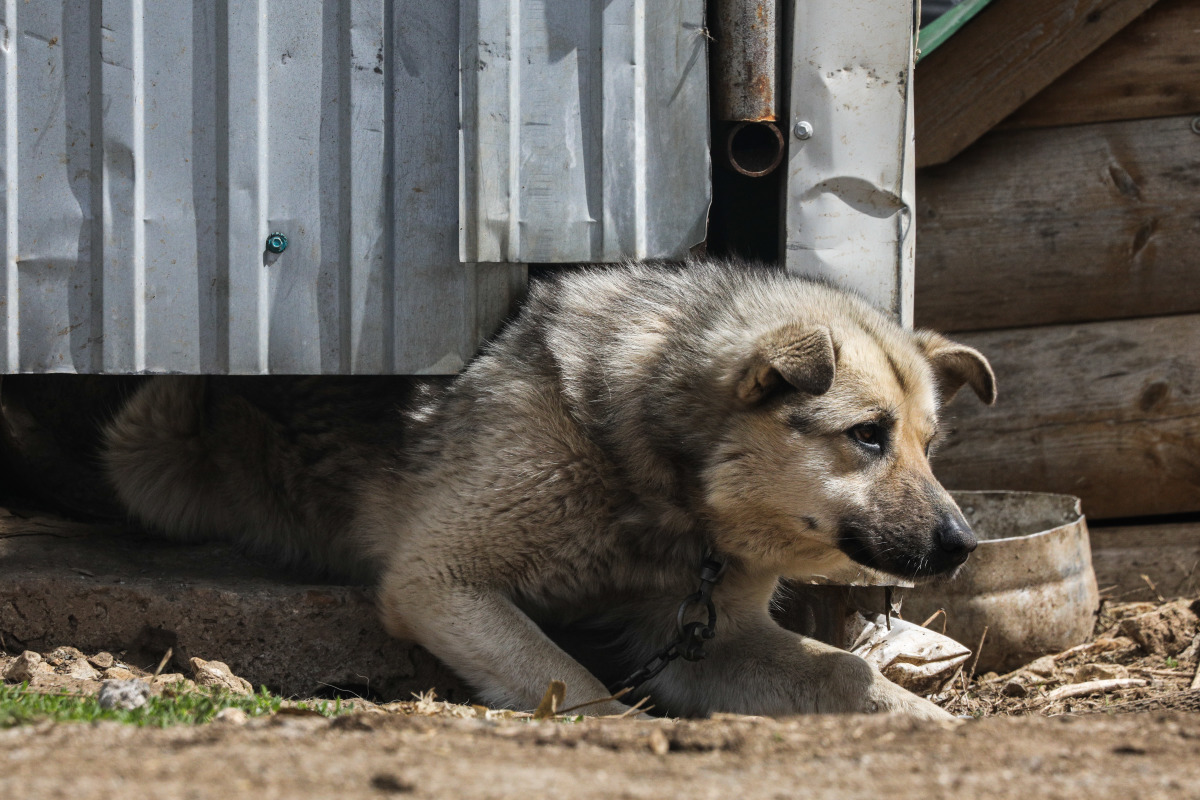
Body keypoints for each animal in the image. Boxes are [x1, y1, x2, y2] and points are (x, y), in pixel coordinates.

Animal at [100, 261, 993, 719]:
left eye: (928, 446)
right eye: (867, 435)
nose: (963, 546)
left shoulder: (714, 640)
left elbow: (850, 677)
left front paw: (934, 723)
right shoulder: (439, 581)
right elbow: (584, 688)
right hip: (152, 437)